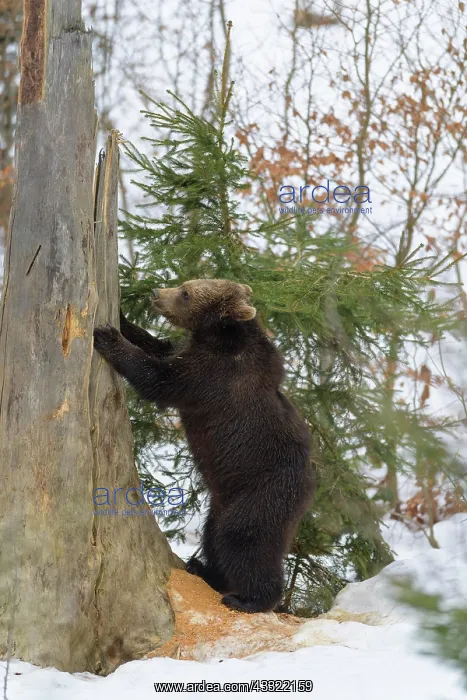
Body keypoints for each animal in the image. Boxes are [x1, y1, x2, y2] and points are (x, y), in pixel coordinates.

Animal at [93, 279, 315, 613]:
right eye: (185, 285)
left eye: (186, 293)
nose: (157, 293)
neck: (216, 336)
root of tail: (310, 490)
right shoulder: (191, 353)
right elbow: (162, 347)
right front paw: (122, 317)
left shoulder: (210, 376)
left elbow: (157, 378)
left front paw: (108, 337)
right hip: (223, 500)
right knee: (214, 536)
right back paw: (203, 568)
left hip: (264, 493)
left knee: (242, 539)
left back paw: (248, 598)